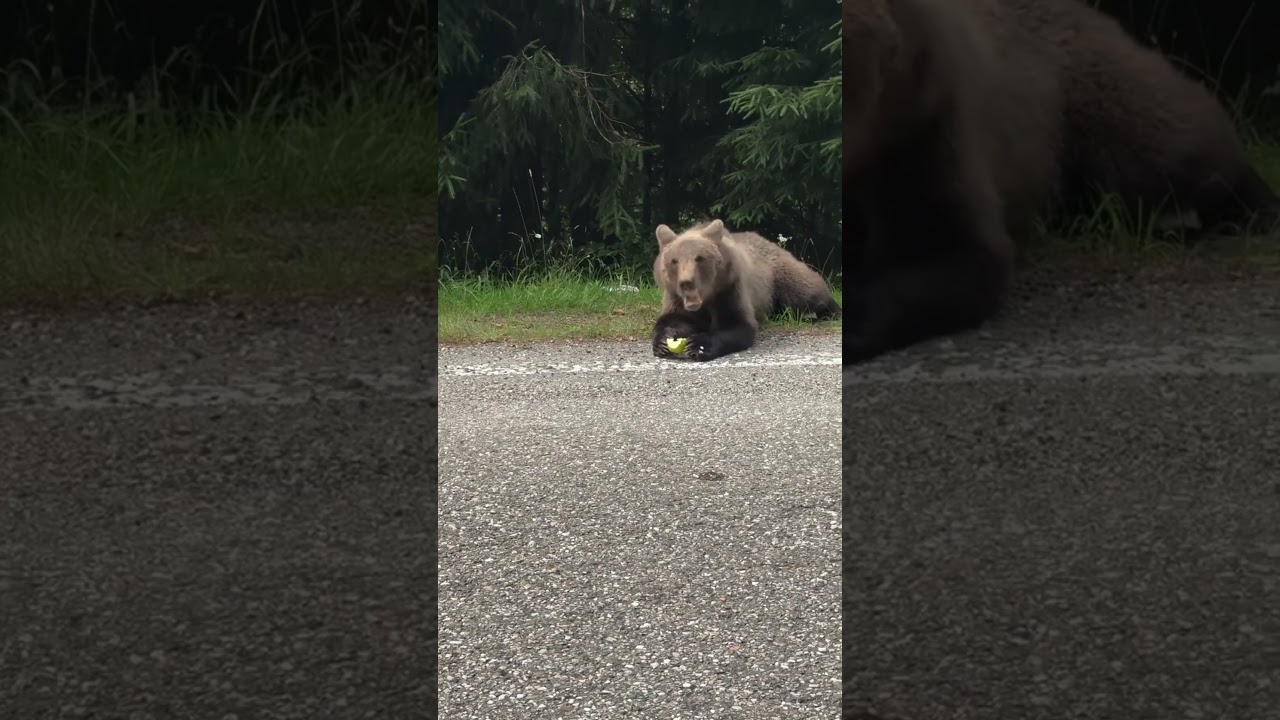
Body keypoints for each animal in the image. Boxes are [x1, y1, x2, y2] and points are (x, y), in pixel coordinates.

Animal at [650, 219, 842, 362]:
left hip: (780, 275)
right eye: (674, 260)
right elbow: (675, 318)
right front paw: (663, 341)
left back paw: (832, 311)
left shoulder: (731, 289)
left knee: (807, 291)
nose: (686, 282)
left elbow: (738, 324)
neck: (708, 298)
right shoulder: (676, 297)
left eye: (700, 258)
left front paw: (699, 345)